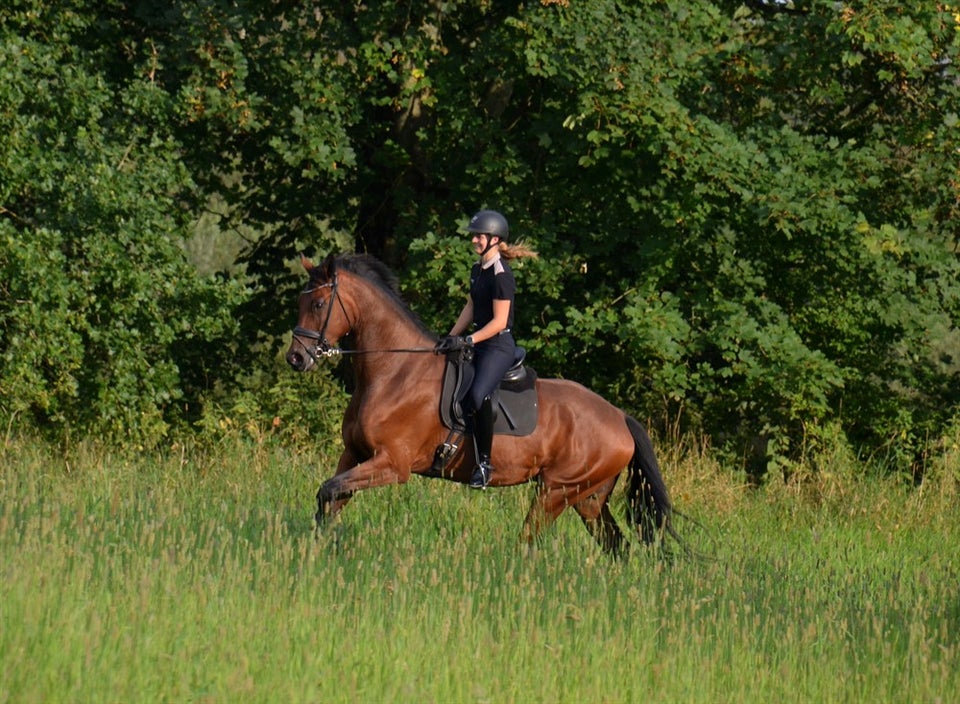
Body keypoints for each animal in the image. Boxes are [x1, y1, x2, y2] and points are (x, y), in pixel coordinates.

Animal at [284, 253, 676, 556]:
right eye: (300, 303)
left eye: (318, 304)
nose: (296, 358)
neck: (394, 371)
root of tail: (620, 418)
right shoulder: (354, 453)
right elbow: (330, 497)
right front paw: (315, 549)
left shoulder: (392, 464)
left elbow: (329, 490)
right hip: (588, 498)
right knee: (617, 547)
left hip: (556, 491)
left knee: (528, 541)